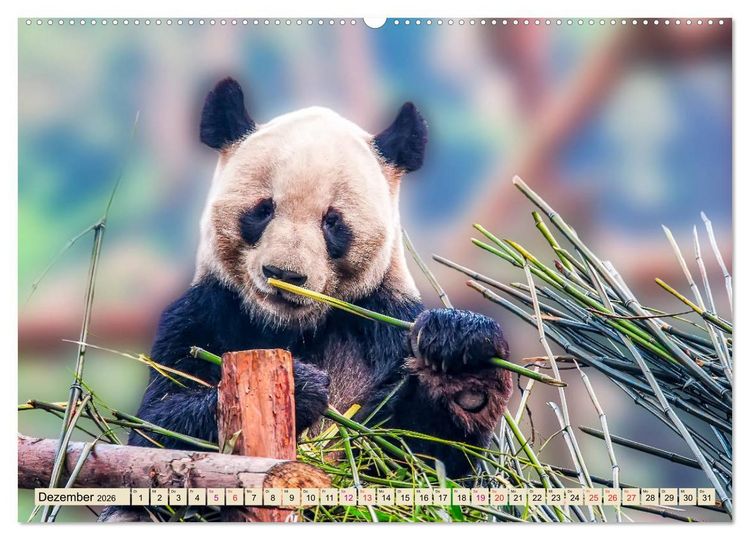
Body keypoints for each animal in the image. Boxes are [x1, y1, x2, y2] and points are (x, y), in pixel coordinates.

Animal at [107, 78, 512, 519]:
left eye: (332, 221)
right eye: (263, 209)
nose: (285, 275)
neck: (290, 327)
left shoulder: (382, 318)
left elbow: (417, 461)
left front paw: (460, 359)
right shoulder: (202, 312)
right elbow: (154, 431)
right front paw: (300, 387)